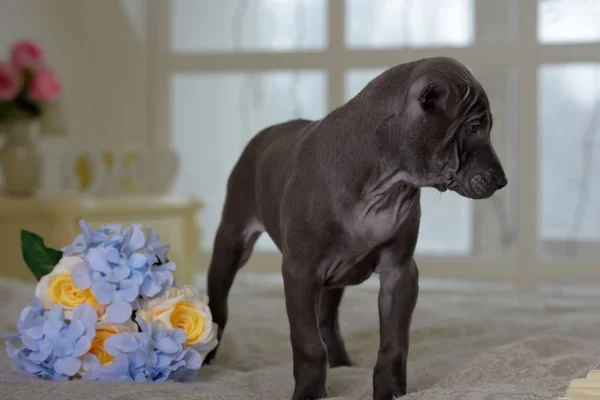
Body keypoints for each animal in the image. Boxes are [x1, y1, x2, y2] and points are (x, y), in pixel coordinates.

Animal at [205, 56, 506, 400]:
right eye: (473, 127)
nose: (502, 181)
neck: (383, 184)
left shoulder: (400, 272)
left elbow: (393, 344)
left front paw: (390, 392)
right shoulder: (300, 271)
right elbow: (308, 344)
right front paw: (309, 393)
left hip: (335, 275)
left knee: (327, 320)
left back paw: (342, 364)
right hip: (232, 241)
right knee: (220, 305)